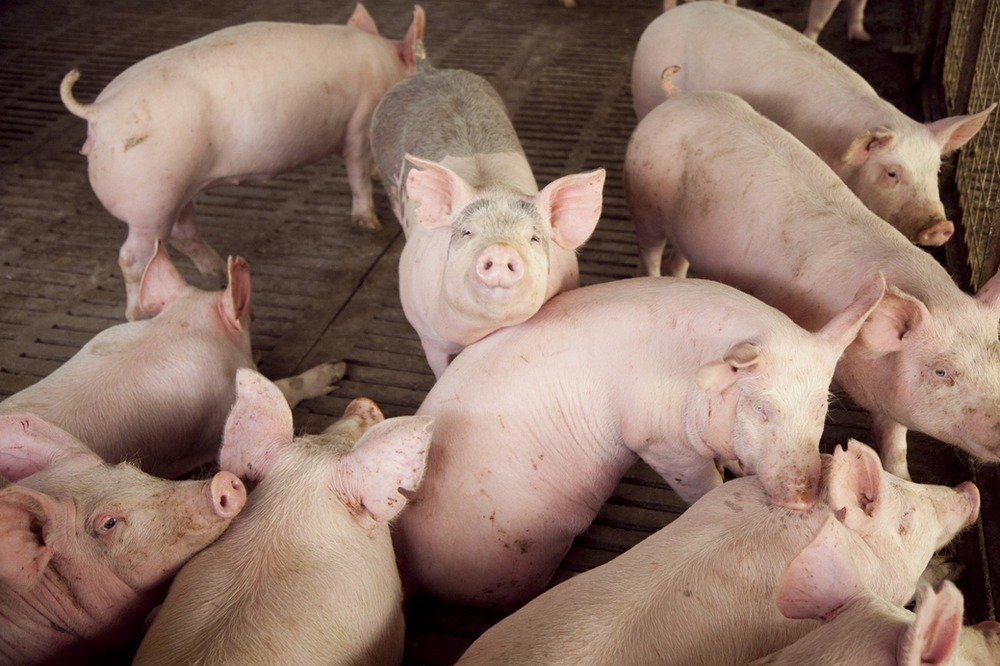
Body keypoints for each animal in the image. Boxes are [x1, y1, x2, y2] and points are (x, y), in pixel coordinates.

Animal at [0, 240, 342, 479]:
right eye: (253, 315)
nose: (255, 350)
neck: (174, 328)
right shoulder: (222, 409)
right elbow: (284, 388)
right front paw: (336, 371)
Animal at [59, 4, 426, 321]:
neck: (386, 67)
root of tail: (99, 113)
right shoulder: (359, 126)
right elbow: (357, 171)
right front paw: (371, 223)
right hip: (148, 202)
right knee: (131, 258)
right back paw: (137, 315)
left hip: (174, 191)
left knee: (182, 232)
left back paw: (218, 271)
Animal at [391, 275, 884, 609]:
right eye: (762, 408)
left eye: (822, 408)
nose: (803, 497)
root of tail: (405, 562)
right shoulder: (660, 443)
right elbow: (701, 485)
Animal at [626, 69, 1000, 480]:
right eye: (942, 372)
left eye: (999, 357)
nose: (941, 228)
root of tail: (677, 97)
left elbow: (894, 437)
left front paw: (901, 478)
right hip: (644, 201)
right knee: (649, 250)